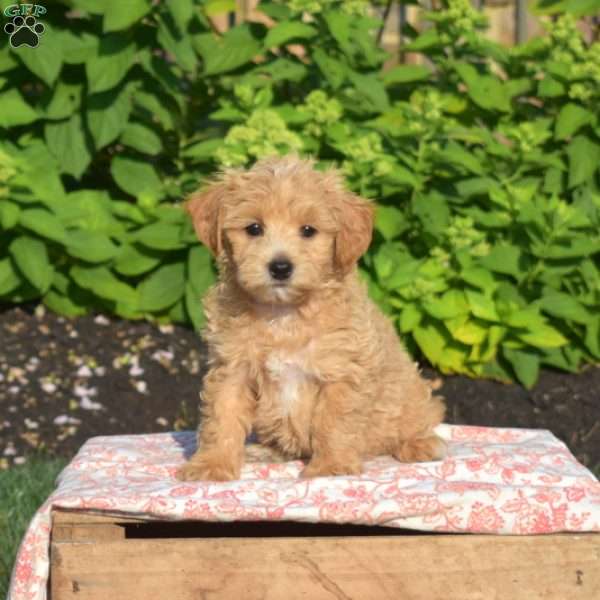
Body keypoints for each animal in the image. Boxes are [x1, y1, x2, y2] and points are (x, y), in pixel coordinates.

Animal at [176, 156, 442, 482]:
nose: (280, 267)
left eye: (308, 230)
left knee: (418, 418)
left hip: (410, 397)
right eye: (254, 228)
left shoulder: (342, 373)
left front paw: (331, 466)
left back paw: (419, 444)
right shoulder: (232, 369)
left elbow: (334, 422)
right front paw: (212, 465)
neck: (284, 314)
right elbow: (221, 418)